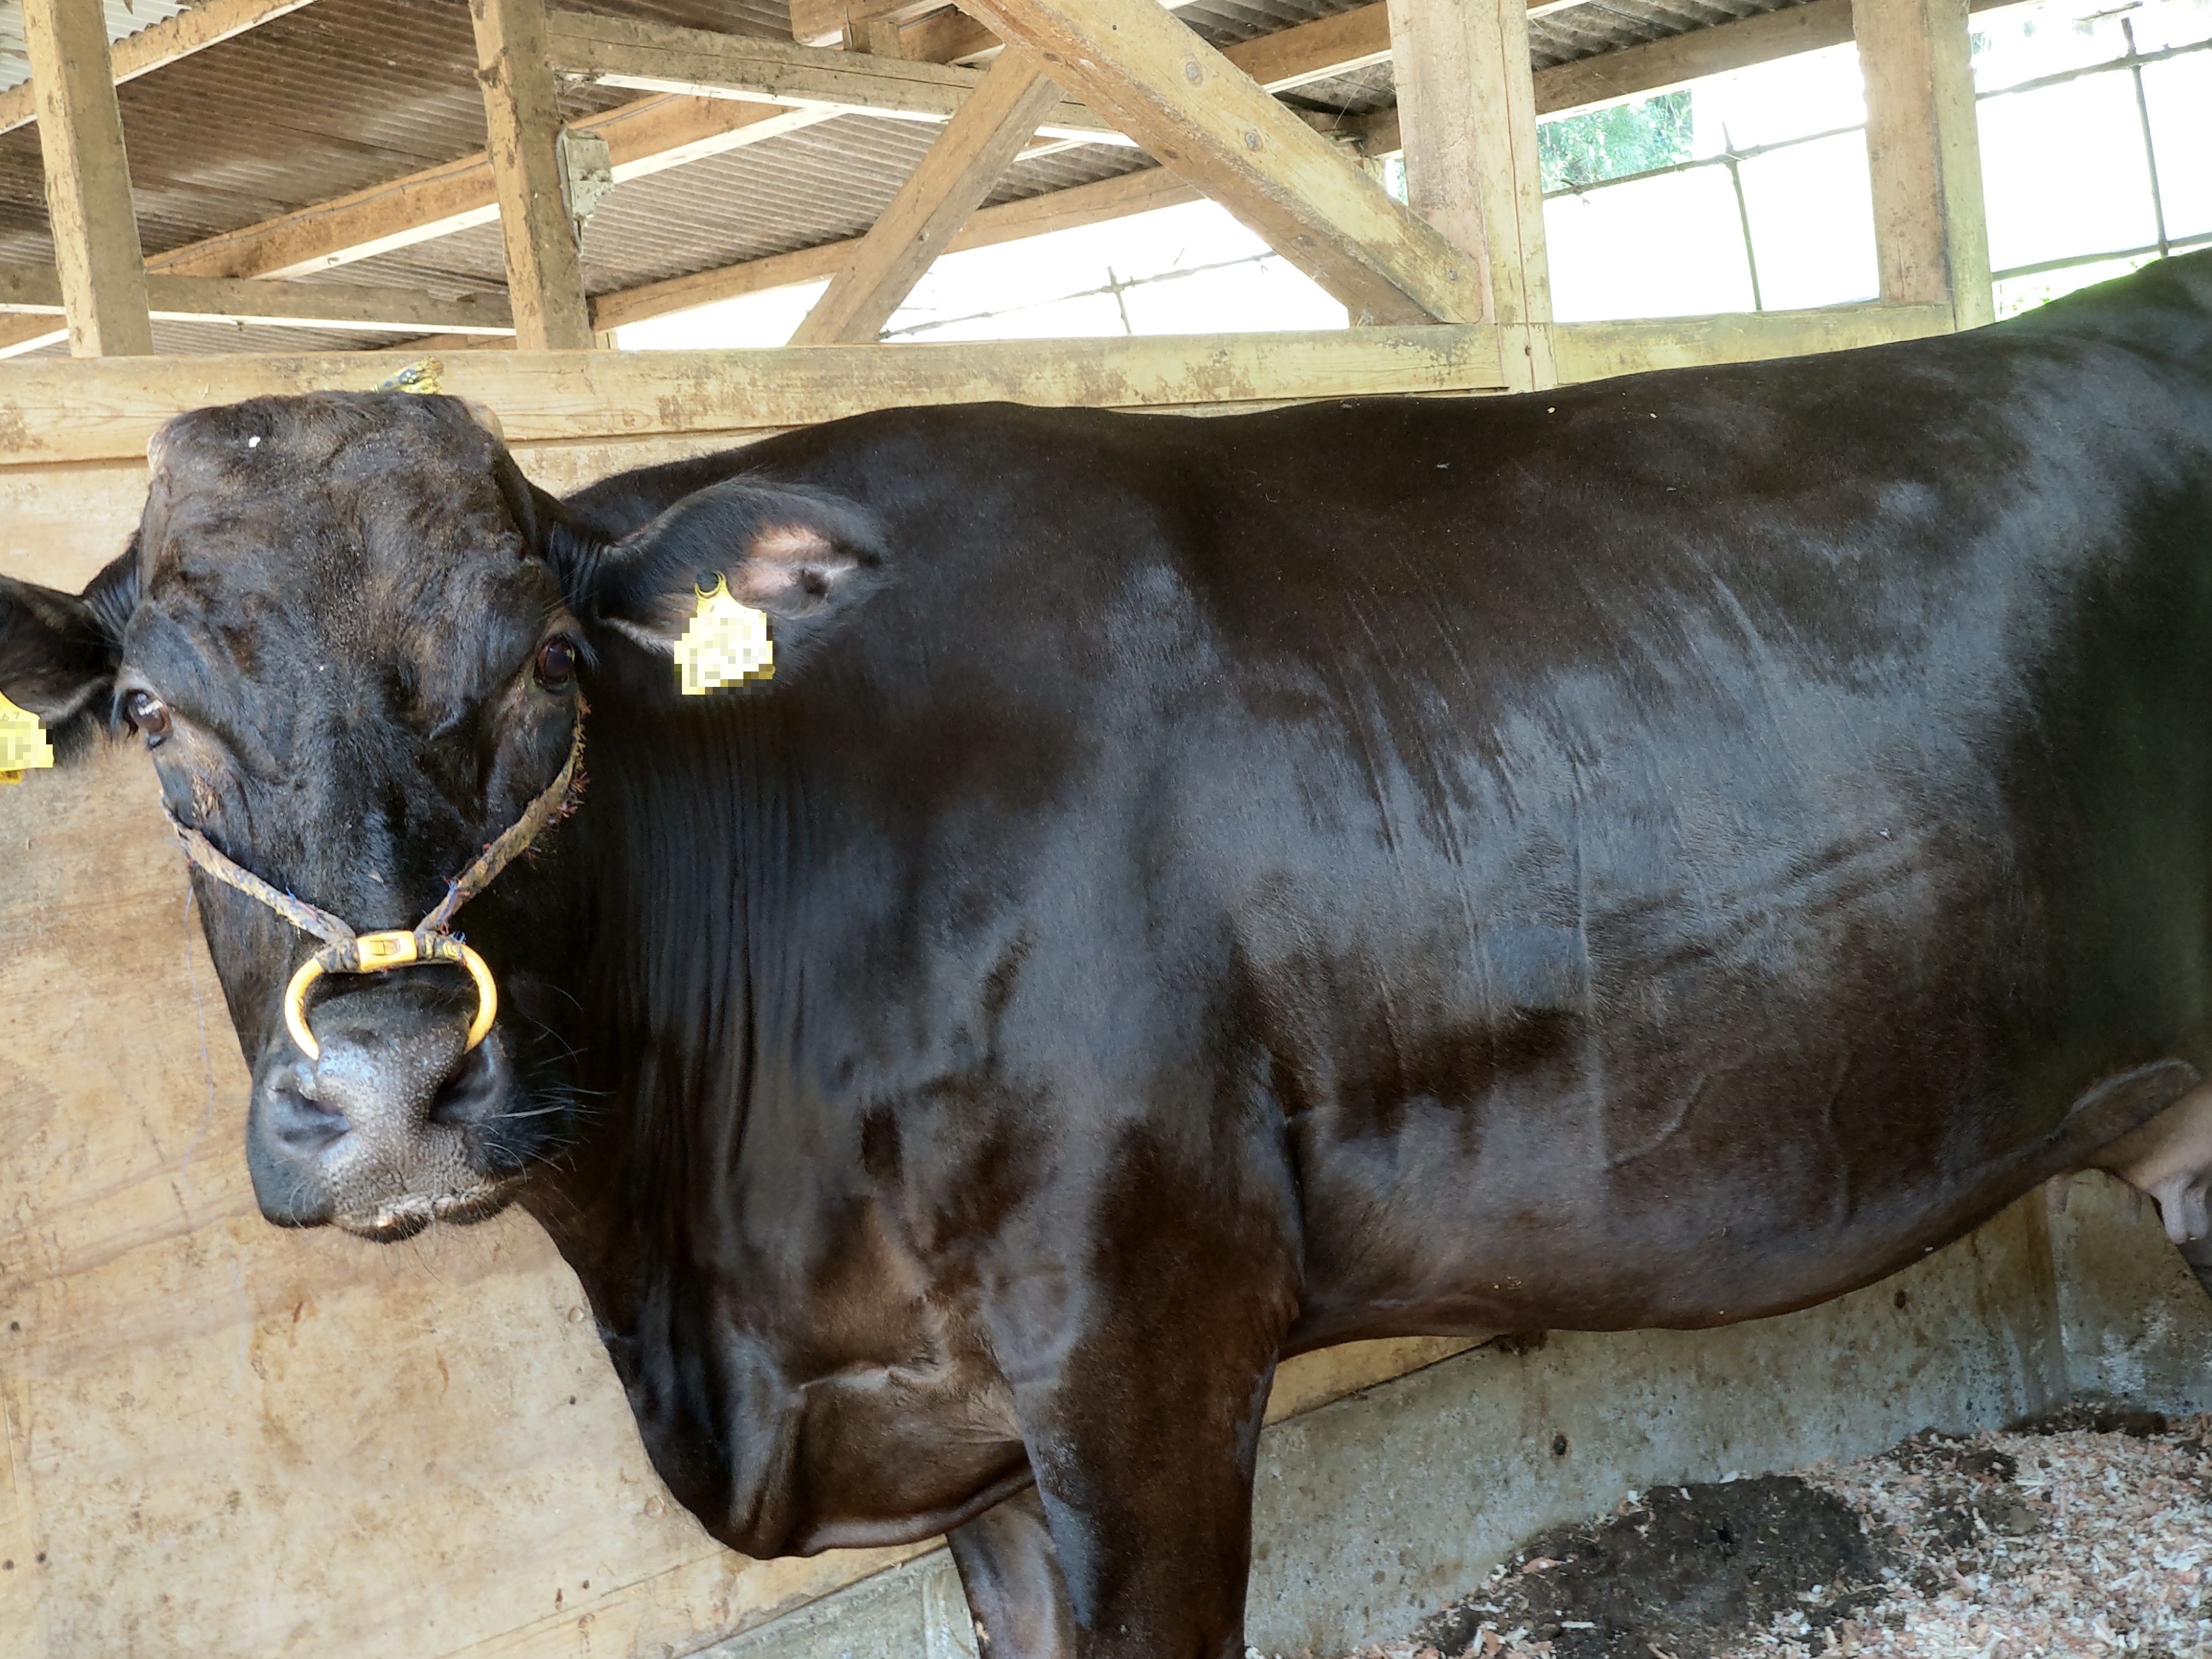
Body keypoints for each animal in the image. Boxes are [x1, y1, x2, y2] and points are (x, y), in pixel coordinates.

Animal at [4, 253, 2212, 1654]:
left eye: (552, 661)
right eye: (150, 712)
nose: (394, 1081)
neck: (713, 1279)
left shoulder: (1141, 1339)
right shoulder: (963, 1431)